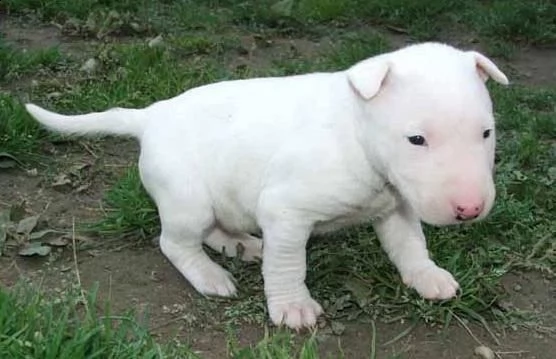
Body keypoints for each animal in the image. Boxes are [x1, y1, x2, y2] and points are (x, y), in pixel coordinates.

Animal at [25, 41, 508, 330]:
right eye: (416, 139)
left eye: (486, 133)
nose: (470, 209)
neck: (356, 133)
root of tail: (151, 116)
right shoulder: (286, 210)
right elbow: (288, 264)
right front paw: (293, 307)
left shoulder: (397, 205)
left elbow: (410, 245)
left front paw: (429, 278)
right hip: (188, 199)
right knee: (174, 242)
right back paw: (210, 275)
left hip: (221, 199)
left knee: (215, 228)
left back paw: (240, 244)